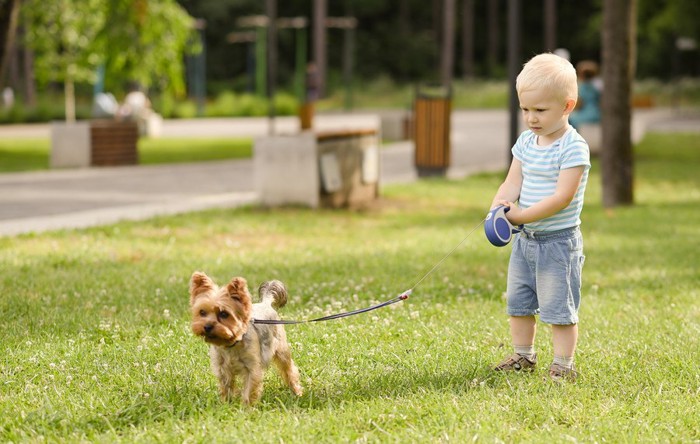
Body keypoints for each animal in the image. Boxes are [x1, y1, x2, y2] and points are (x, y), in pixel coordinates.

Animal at [190, 270, 302, 406]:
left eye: (224, 314)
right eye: (202, 312)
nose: (207, 326)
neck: (231, 343)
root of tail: (265, 304)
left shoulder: (252, 368)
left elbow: (249, 390)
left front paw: (246, 408)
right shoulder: (222, 368)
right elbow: (226, 387)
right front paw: (226, 404)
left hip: (281, 349)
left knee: (289, 370)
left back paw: (297, 392)